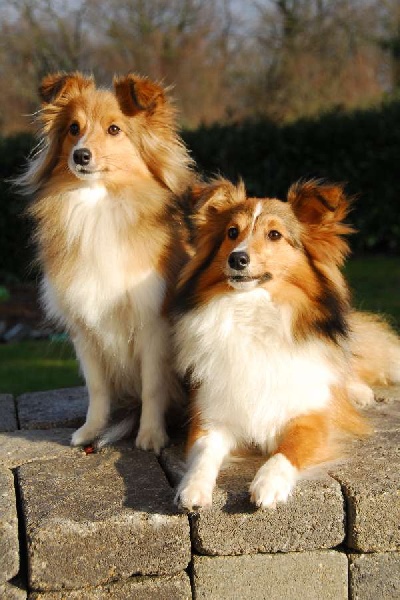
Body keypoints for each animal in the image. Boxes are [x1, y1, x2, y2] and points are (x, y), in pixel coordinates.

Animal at [18, 72, 194, 452]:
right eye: (73, 128)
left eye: (114, 129)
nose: (80, 155)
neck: (98, 205)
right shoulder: (84, 327)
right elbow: (97, 388)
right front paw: (90, 430)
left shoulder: (153, 323)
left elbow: (153, 385)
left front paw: (150, 436)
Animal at [174, 178, 400, 506]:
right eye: (232, 232)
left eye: (275, 234)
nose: (237, 259)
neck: (253, 314)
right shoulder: (211, 416)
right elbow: (203, 453)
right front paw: (193, 487)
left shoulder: (310, 417)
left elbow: (287, 451)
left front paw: (269, 483)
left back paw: (358, 392)